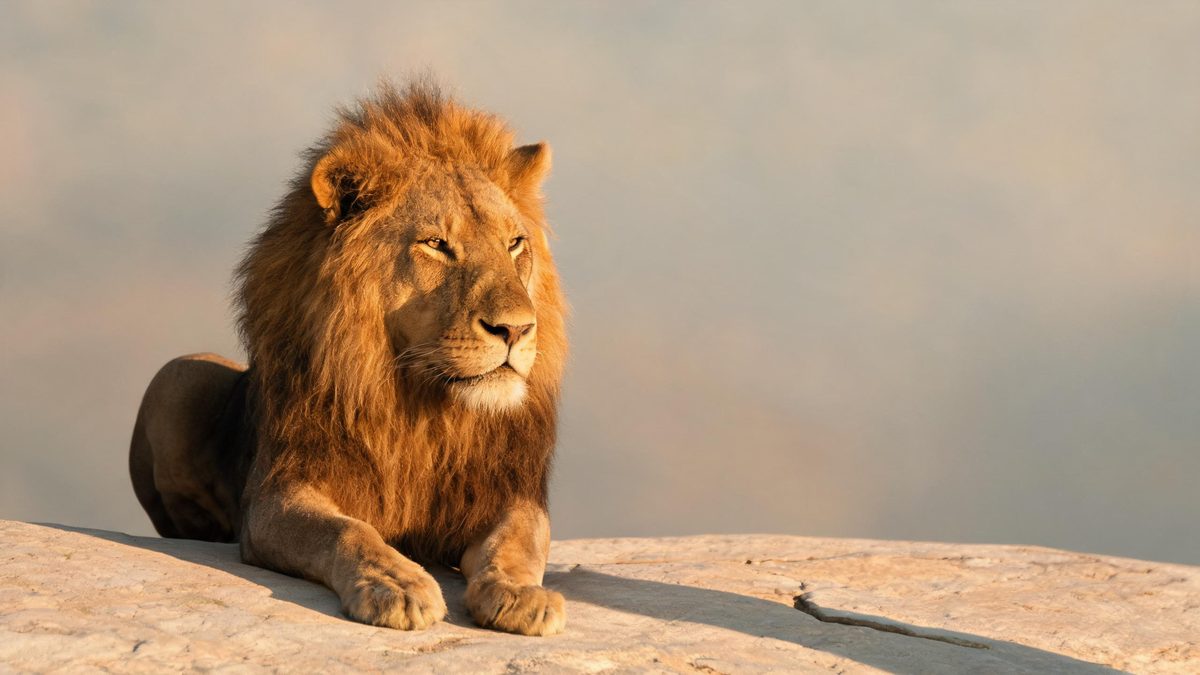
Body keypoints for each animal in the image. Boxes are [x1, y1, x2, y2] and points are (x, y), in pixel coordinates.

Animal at [127, 81, 568, 636]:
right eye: (436, 244)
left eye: (514, 244)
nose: (516, 329)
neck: (422, 407)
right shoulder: (276, 496)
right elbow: (347, 530)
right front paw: (396, 584)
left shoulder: (509, 495)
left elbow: (515, 544)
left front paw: (519, 594)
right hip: (179, 373)